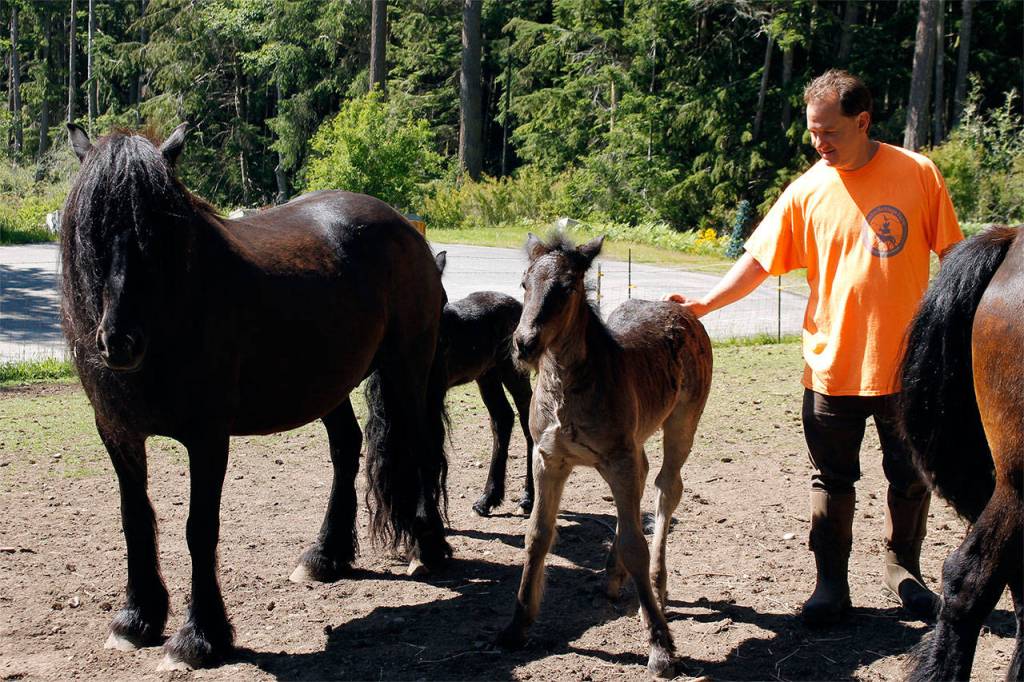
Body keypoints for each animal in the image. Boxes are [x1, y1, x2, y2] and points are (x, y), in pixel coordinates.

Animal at [60, 124, 451, 670]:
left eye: (157, 233)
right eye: (91, 229)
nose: (120, 342)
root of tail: (406, 229)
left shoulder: (207, 438)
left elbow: (199, 528)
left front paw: (199, 637)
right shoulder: (118, 434)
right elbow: (135, 520)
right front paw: (136, 619)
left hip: (406, 369)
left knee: (418, 448)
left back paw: (428, 547)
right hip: (330, 385)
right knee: (346, 449)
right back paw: (325, 556)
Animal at [435, 252, 535, 516]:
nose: (443, 345)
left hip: (513, 372)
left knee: (527, 420)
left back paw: (528, 498)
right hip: (487, 375)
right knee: (502, 418)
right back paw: (488, 498)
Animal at [497, 233, 713, 677]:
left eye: (566, 288)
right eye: (524, 283)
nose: (523, 344)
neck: (568, 388)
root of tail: (681, 309)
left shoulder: (618, 460)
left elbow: (635, 542)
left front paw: (661, 648)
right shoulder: (549, 459)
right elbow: (537, 535)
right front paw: (517, 624)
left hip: (682, 422)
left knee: (667, 487)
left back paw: (657, 586)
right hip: (634, 443)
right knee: (646, 481)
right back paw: (614, 577)